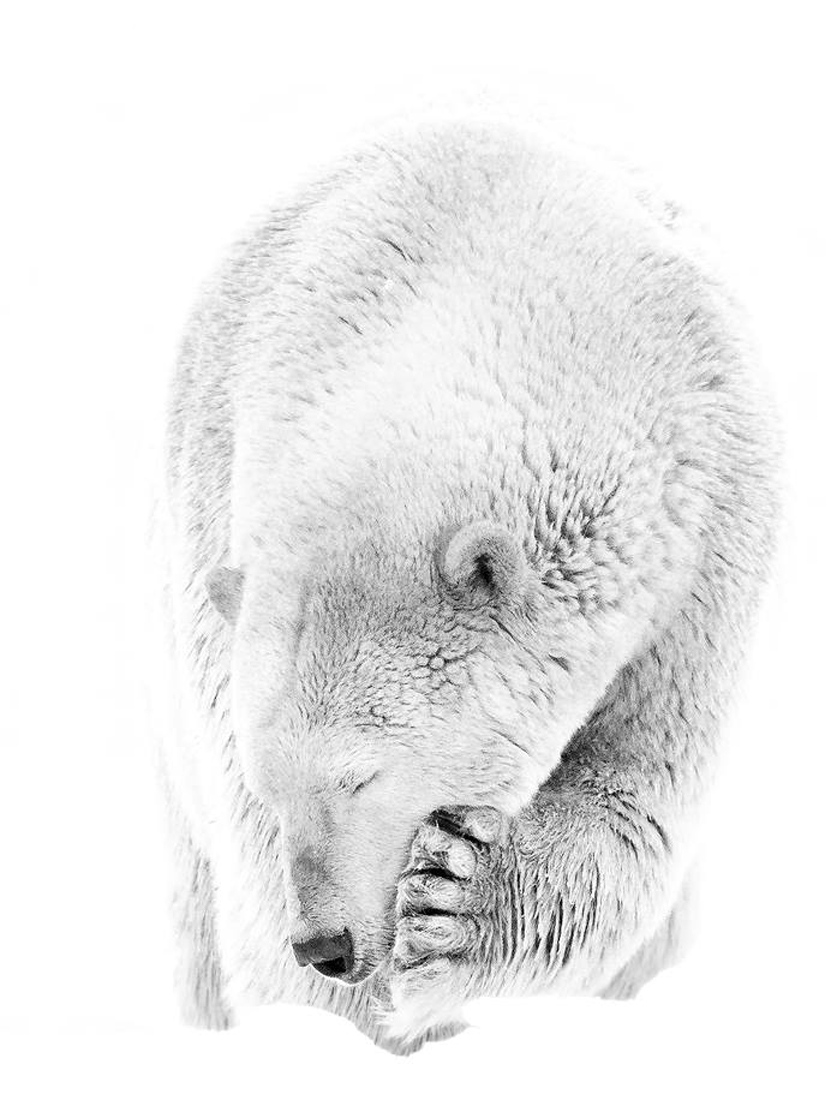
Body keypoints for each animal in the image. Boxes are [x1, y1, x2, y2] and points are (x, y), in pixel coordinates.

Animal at [152, 115, 779, 1053]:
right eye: (274, 783)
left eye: (362, 776)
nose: (326, 945)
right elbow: (254, 869)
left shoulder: (700, 555)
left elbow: (629, 790)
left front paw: (455, 901)